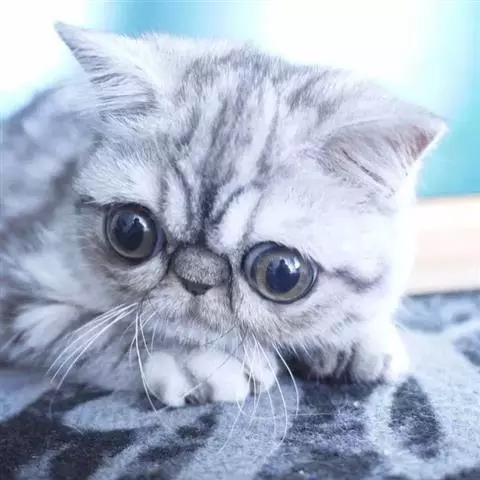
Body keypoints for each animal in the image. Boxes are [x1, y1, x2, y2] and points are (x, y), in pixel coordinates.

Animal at [0, 23, 445, 407]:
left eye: (281, 273)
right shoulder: (19, 285)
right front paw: (193, 356)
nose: (196, 277)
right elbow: (94, 329)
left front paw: (357, 337)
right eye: (131, 232)